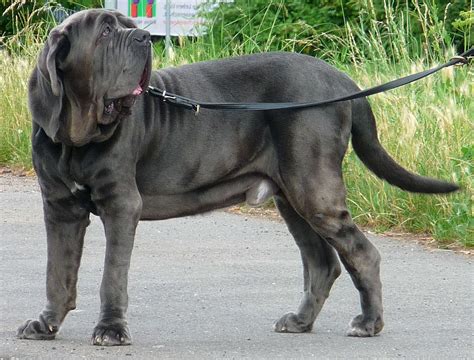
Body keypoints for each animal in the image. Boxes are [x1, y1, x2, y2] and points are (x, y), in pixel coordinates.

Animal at [16, 9, 458, 346]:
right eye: (106, 31)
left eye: (128, 24)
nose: (143, 37)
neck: (76, 138)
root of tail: (342, 81)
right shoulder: (59, 208)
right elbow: (57, 271)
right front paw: (46, 323)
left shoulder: (120, 204)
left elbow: (112, 275)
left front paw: (110, 330)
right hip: (290, 197)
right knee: (322, 263)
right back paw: (300, 321)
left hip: (313, 190)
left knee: (362, 253)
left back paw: (368, 323)